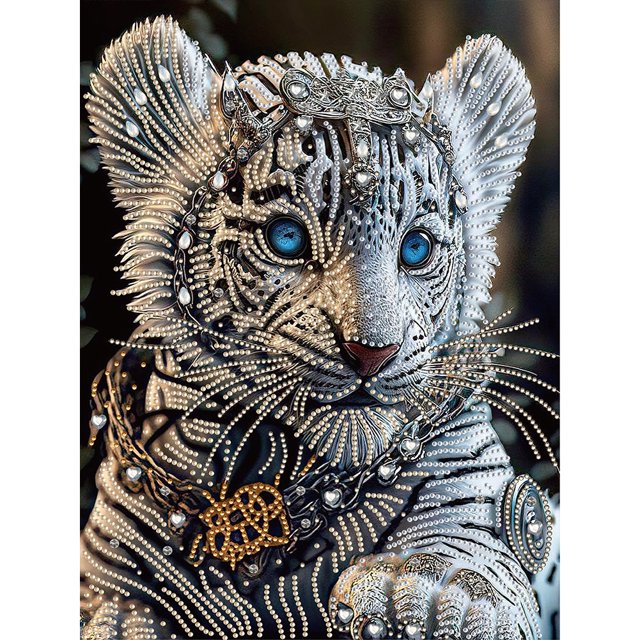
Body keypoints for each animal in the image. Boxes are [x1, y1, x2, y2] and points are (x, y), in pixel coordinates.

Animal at [81, 16, 558, 640]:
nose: (371, 353)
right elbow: (122, 613)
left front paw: (424, 595)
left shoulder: (476, 505)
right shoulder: (112, 579)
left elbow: (470, 560)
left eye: (416, 248)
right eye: (286, 238)